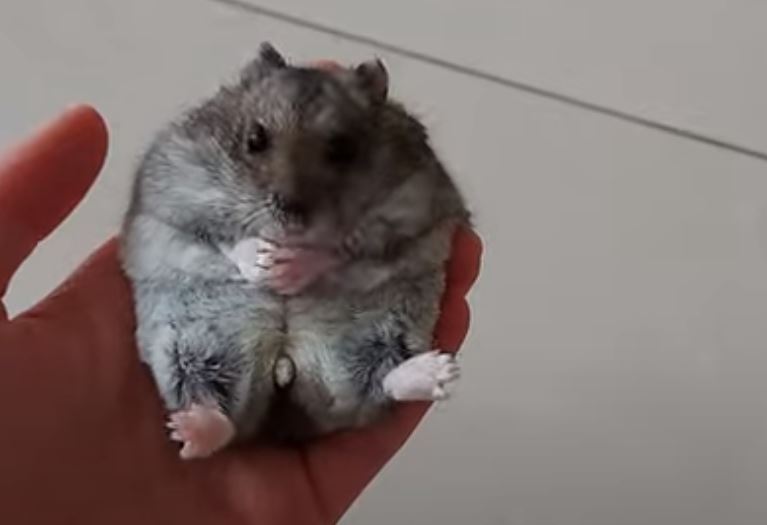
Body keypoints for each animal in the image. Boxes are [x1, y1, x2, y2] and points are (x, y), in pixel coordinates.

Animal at [120, 43, 470, 459]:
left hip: (387, 335)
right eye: (255, 139)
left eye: (342, 148)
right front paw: (264, 264)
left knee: (381, 385)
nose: (290, 213)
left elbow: (340, 251)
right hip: (189, 352)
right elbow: (224, 238)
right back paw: (190, 430)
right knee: (224, 421)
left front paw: (289, 271)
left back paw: (439, 372)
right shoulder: (179, 192)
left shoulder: (406, 209)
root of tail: (284, 367)